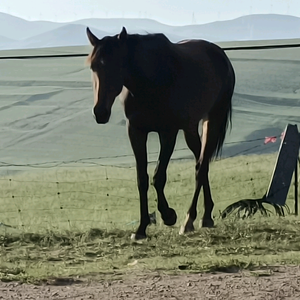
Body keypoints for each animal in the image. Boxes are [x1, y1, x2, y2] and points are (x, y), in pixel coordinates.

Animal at [85, 27, 236, 240]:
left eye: (116, 64)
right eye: (93, 67)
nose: (100, 112)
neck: (150, 81)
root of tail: (221, 56)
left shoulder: (168, 132)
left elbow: (159, 176)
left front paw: (168, 215)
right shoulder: (136, 132)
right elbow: (142, 179)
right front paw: (141, 229)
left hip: (212, 119)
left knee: (201, 167)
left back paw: (189, 220)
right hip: (190, 128)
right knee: (201, 162)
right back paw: (206, 215)